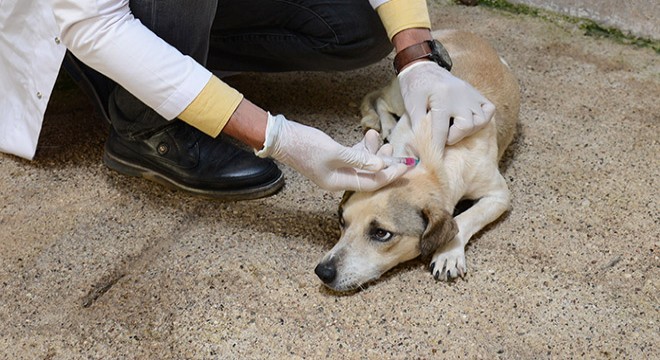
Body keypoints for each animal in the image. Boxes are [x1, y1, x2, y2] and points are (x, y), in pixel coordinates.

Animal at [314, 29, 520, 292]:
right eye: (342, 220)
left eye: (381, 233)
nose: (322, 271)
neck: (431, 158)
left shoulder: (499, 195)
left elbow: (463, 219)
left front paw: (448, 253)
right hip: (401, 92)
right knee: (379, 99)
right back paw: (386, 125)